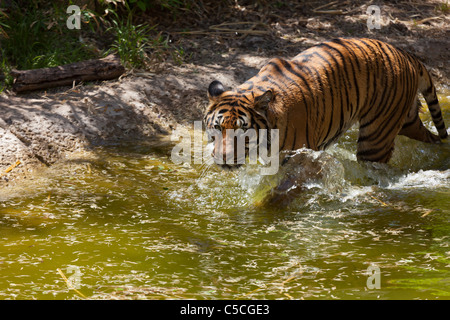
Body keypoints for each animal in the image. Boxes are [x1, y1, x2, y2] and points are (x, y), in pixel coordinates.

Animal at [204, 37, 446, 170]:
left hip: (376, 138)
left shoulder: (298, 157)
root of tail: (406, 54)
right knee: (432, 137)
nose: (222, 158)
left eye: (243, 131)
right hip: (406, 120)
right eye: (217, 127)